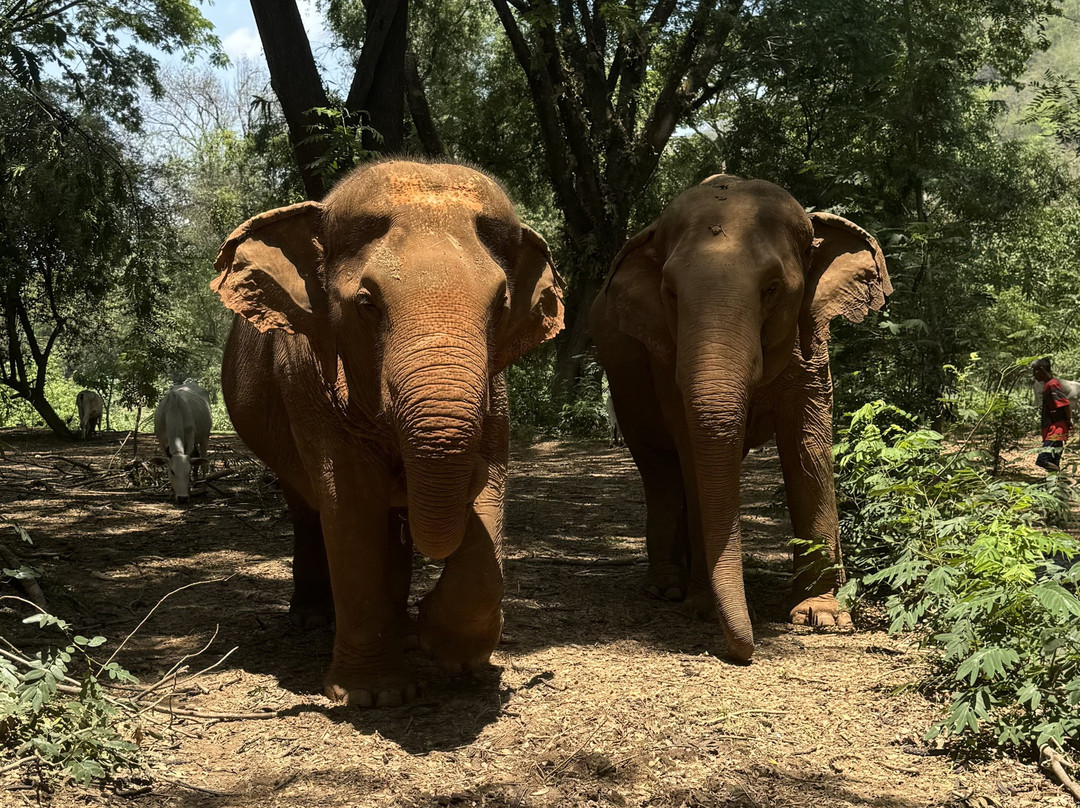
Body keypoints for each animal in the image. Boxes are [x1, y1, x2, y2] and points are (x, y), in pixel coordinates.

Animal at [211, 160, 564, 706]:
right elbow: (351, 504)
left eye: (502, 304)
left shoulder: (496, 390)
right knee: (306, 505)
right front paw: (374, 696)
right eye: (367, 303)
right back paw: (313, 619)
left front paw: (448, 652)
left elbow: (488, 495)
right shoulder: (307, 381)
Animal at [588, 174, 891, 662]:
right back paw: (666, 589)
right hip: (624, 386)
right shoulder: (664, 358)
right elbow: (692, 450)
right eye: (670, 294)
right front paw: (702, 608)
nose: (743, 651)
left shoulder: (811, 344)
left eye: (772, 288)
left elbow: (808, 447)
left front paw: (822, 616)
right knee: (660, 469)